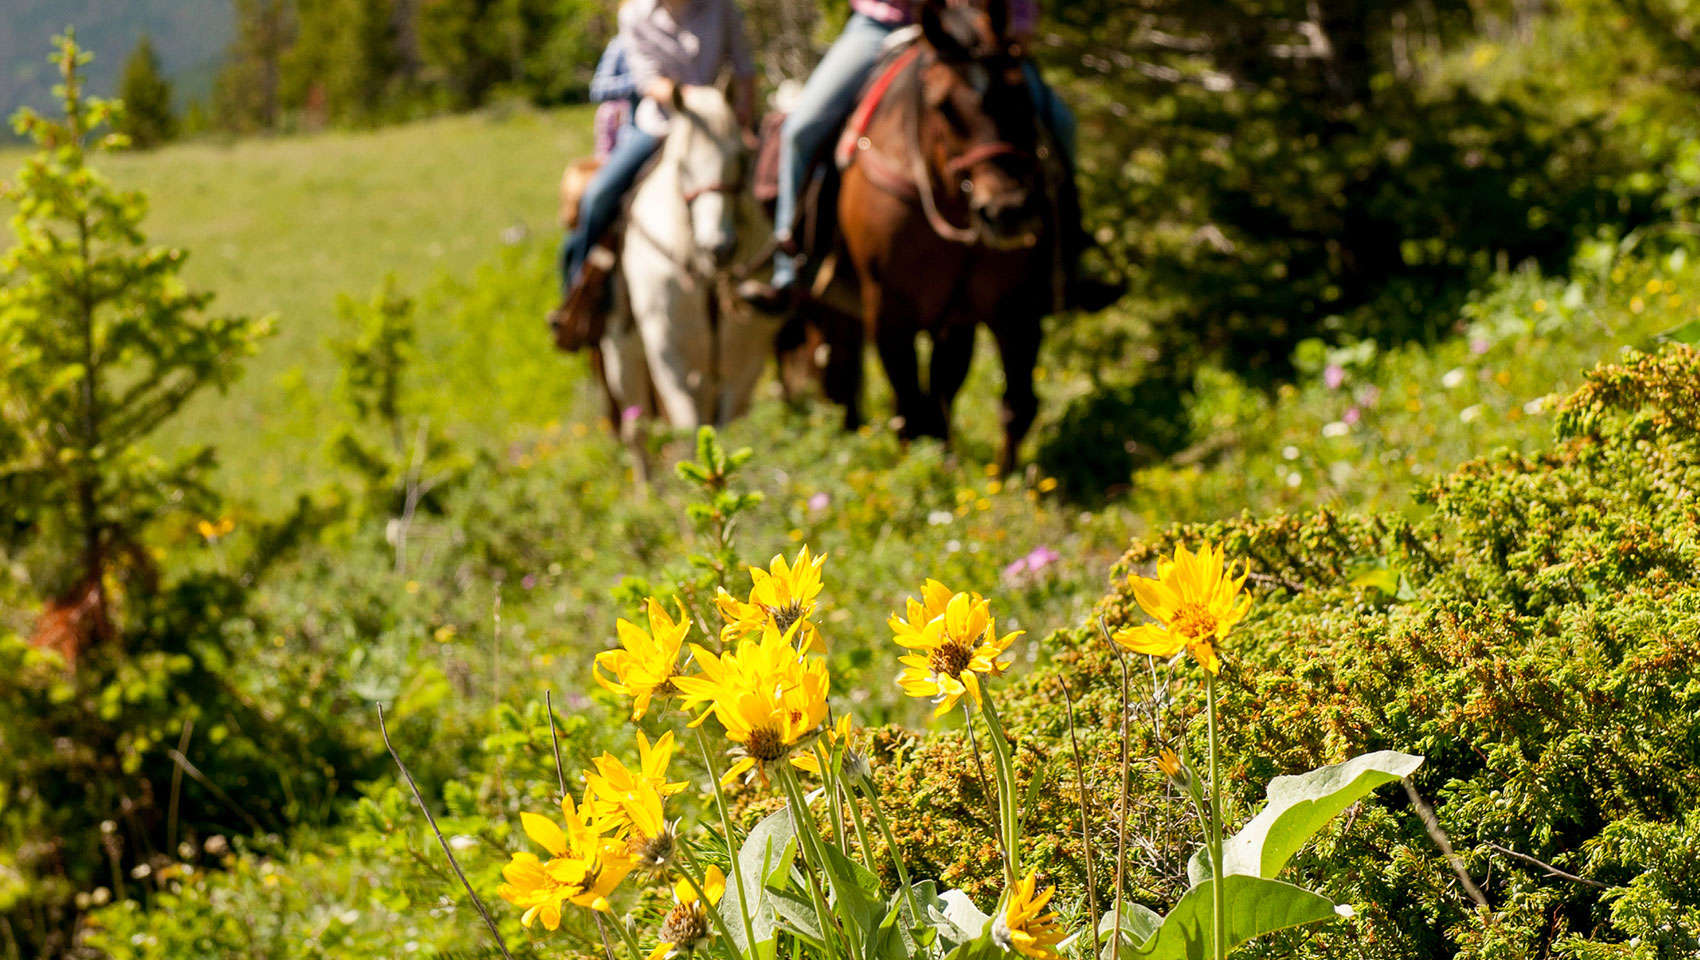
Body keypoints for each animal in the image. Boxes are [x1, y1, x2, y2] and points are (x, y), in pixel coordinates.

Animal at [601, 84, 778, 479]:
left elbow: (727, 427)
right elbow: (686, 430)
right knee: (637, 434)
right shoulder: (670, 356)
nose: (719, 248)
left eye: (741, 156)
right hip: (622, 355)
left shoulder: (744, 362)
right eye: (682, 164)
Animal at [833, 0, 1054, 472]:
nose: (1008, 211)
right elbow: (909, 407)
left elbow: (1016, 402)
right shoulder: (887, 309)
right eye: (943, 105)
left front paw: (1005, 478)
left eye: (1021, 93)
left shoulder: (1009, 305)